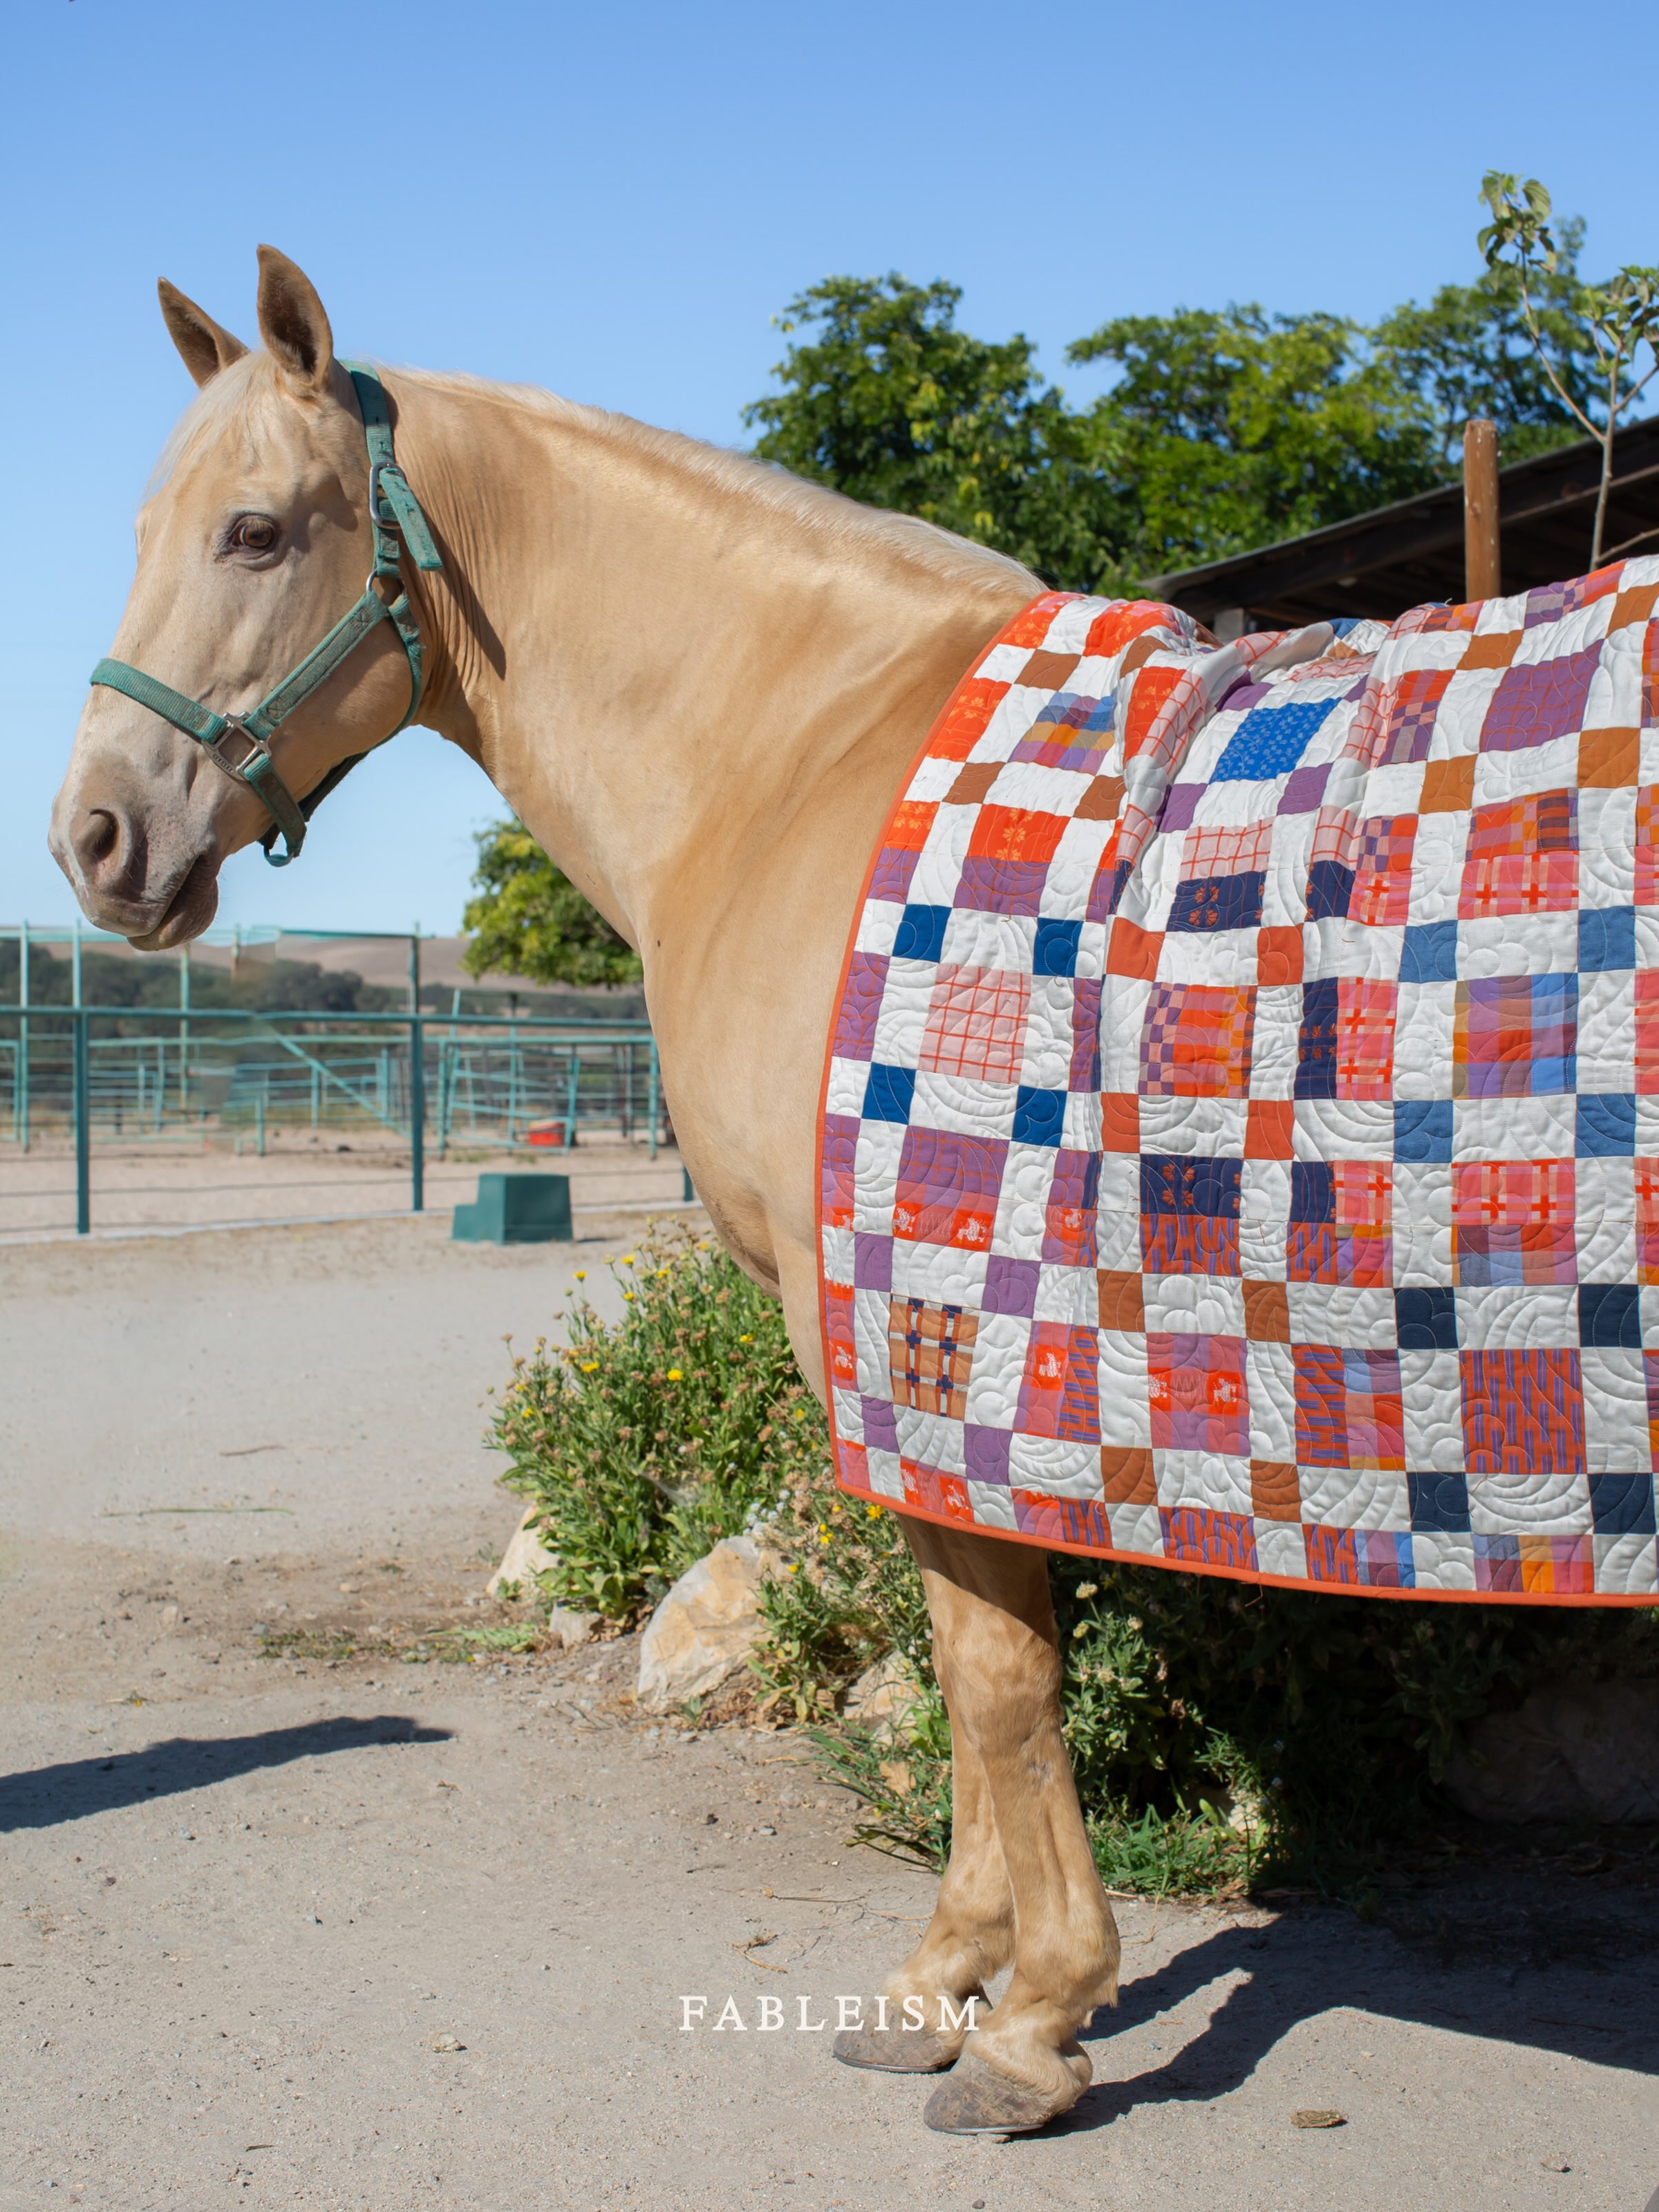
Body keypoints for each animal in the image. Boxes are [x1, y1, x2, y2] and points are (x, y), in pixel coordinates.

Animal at [51, 249, 1118, 2135]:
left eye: (254, 532)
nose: (90, 837)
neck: (815, 756)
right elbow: (973, 1648)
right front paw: (959, 1981)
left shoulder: (895, 1305)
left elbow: (986, 1661)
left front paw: (1018, 2016)